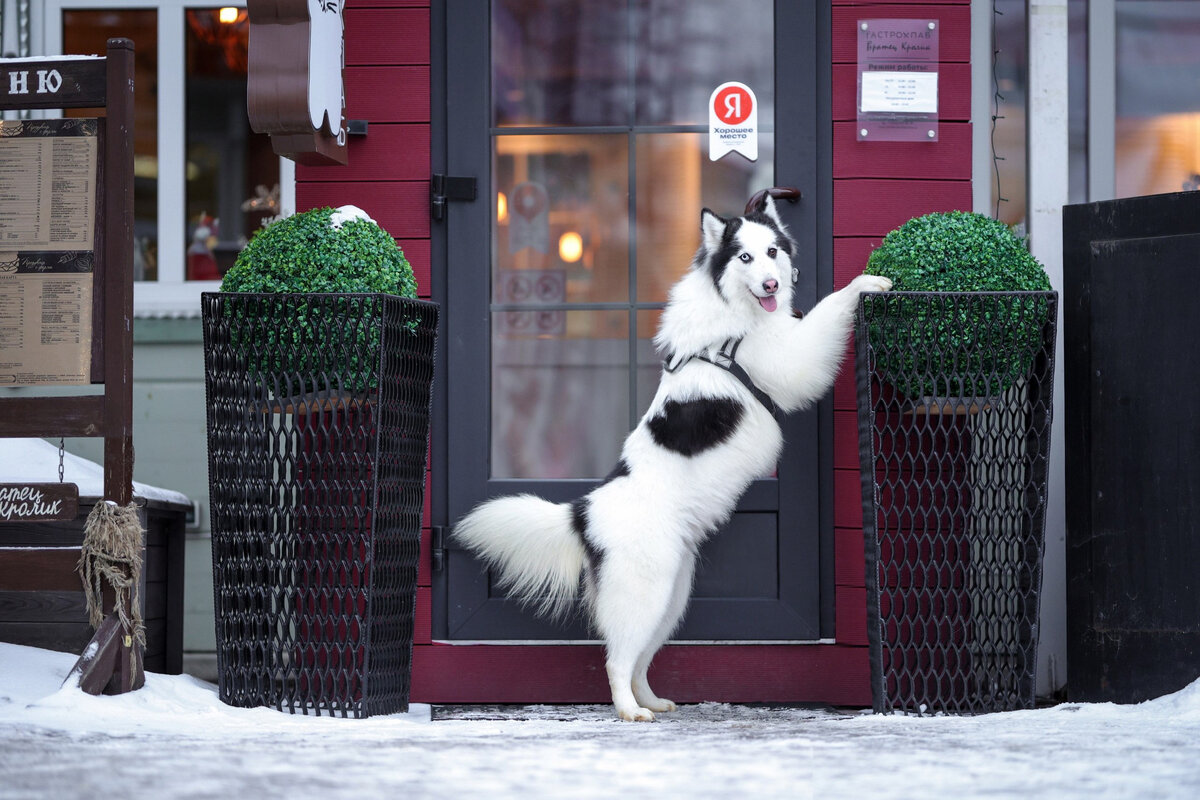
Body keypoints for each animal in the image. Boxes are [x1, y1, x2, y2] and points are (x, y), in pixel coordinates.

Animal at [453, 194, 897, 719]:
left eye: (772, 251)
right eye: (744, 257)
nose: (772, 284)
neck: (733, 308)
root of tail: (583, 511)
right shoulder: (792, 358)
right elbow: (831, 305)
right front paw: (866, 283)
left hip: (672, 593)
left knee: (641, 660)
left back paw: (653, 702)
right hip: (645, 593)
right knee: (617, 660)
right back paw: (628, 710)